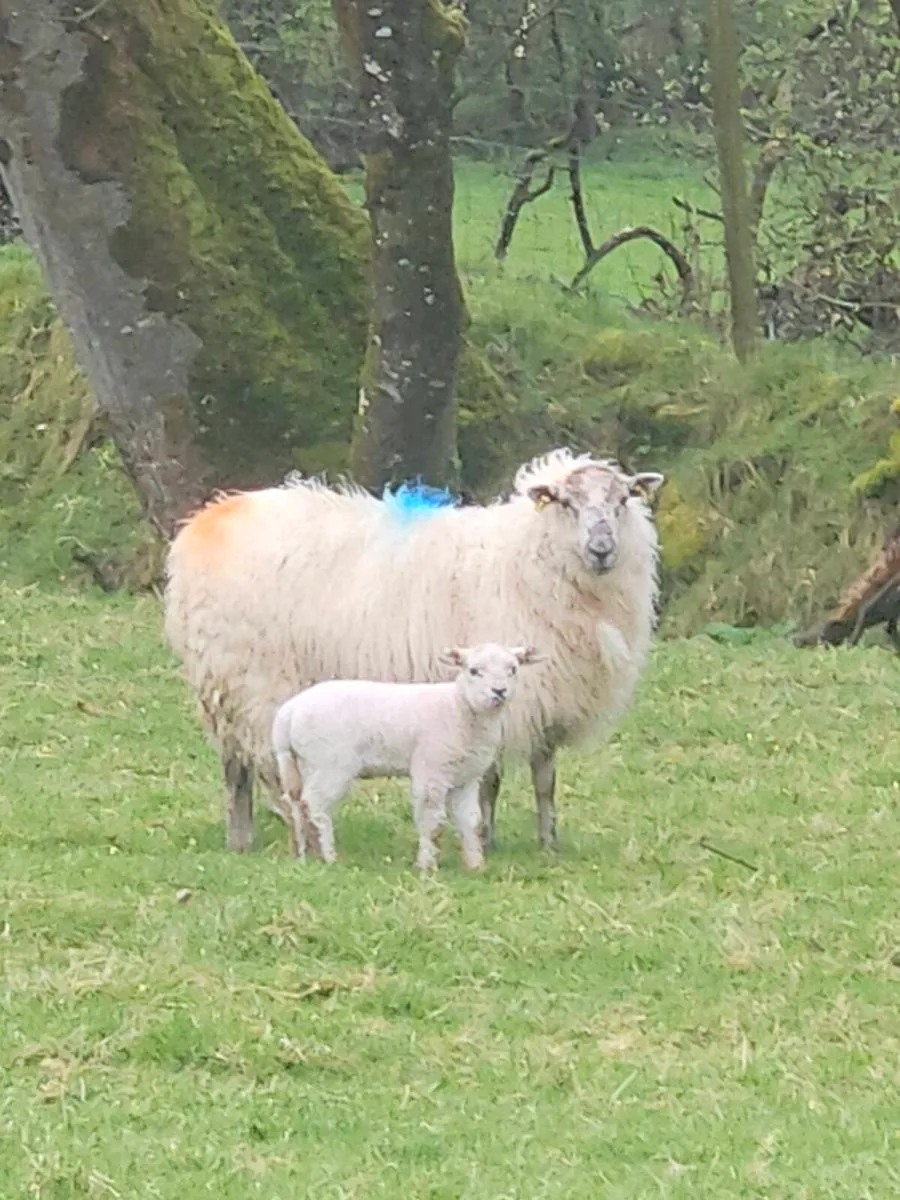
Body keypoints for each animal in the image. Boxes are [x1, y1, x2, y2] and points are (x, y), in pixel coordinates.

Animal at [271, 643, 545, 871]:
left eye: (513, 669)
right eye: (474, 671)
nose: (499, 691)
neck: (459, 707)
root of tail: (288, 713)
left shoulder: (466, 776)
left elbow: (471, 821)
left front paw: (476, 865)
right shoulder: (431, 769)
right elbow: (431, 820)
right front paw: (426, 866)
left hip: (301, 762)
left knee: (294, 803)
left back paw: (301, 855)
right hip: (330, 763)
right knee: (313, 805)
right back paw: (327, 858)